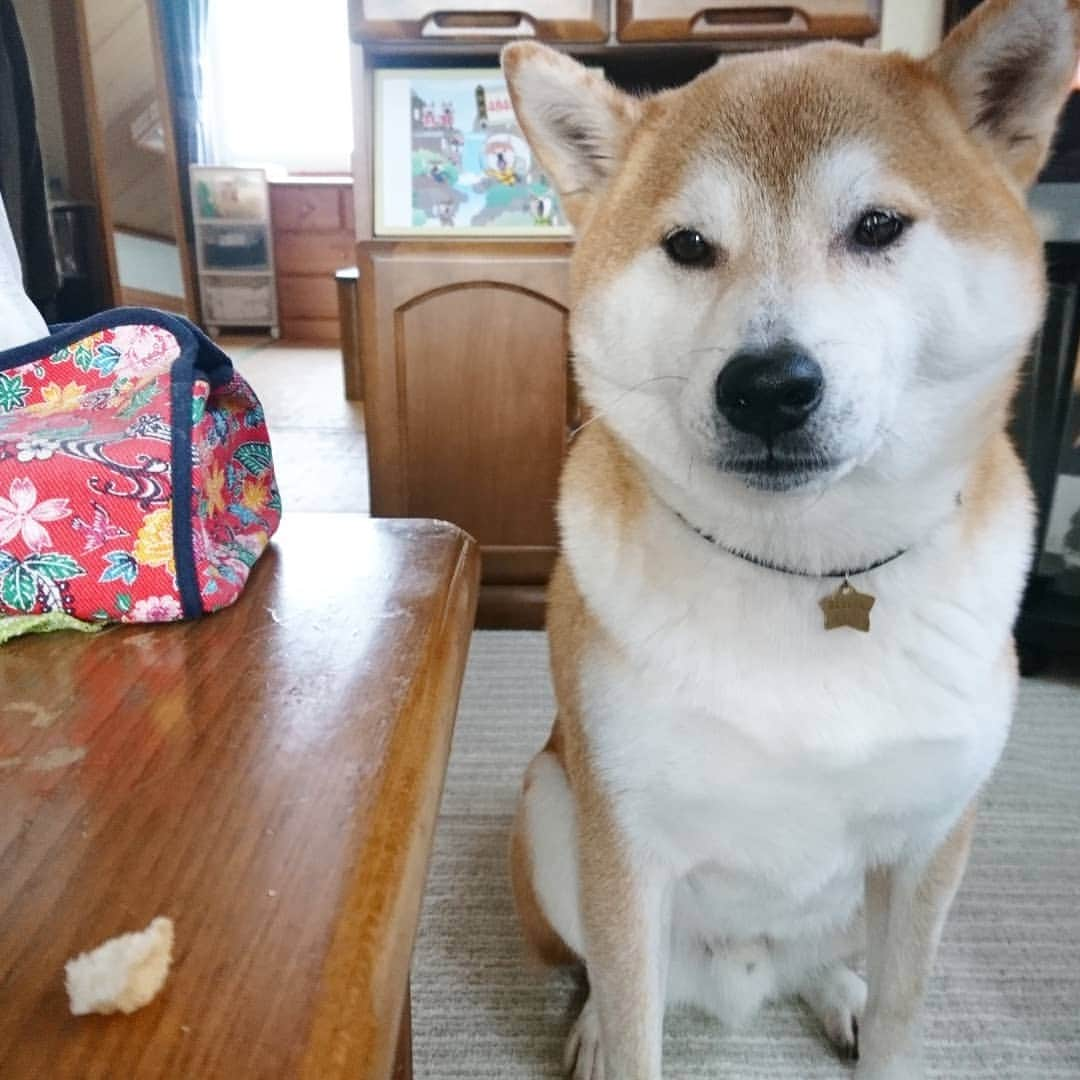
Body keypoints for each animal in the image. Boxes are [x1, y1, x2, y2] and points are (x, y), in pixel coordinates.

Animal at [501, 2, 1080, 1080]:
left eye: (878, 226)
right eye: (688, 245)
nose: (767, 386)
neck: (811, 569)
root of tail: (740, 981)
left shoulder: (932, 844)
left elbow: (901, 1017)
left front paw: (877, 1027)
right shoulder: (624, 844)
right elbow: (633, 1016)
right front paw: (613, 1032)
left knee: (827, 963)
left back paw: (835, 992)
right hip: (554, 810)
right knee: (604, 972)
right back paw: (595, 1024)